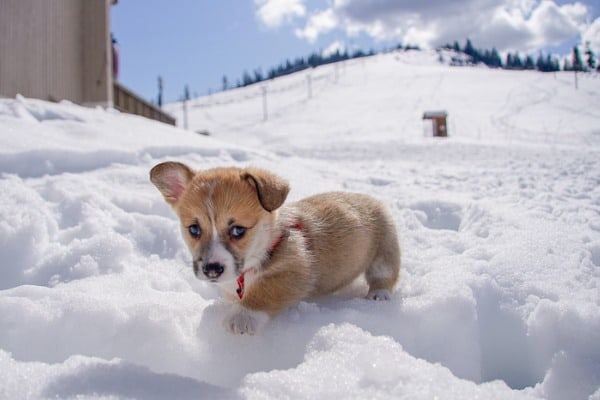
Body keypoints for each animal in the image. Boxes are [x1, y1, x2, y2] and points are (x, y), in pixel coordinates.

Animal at [150, 162, 400, 334]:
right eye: (194, 229)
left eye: (238, 230)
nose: (212, 270)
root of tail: (369, 199)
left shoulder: (294, 270)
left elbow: (264, 291)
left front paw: (243, 316)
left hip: (385, 250)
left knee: (384, 274)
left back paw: (379, 295)